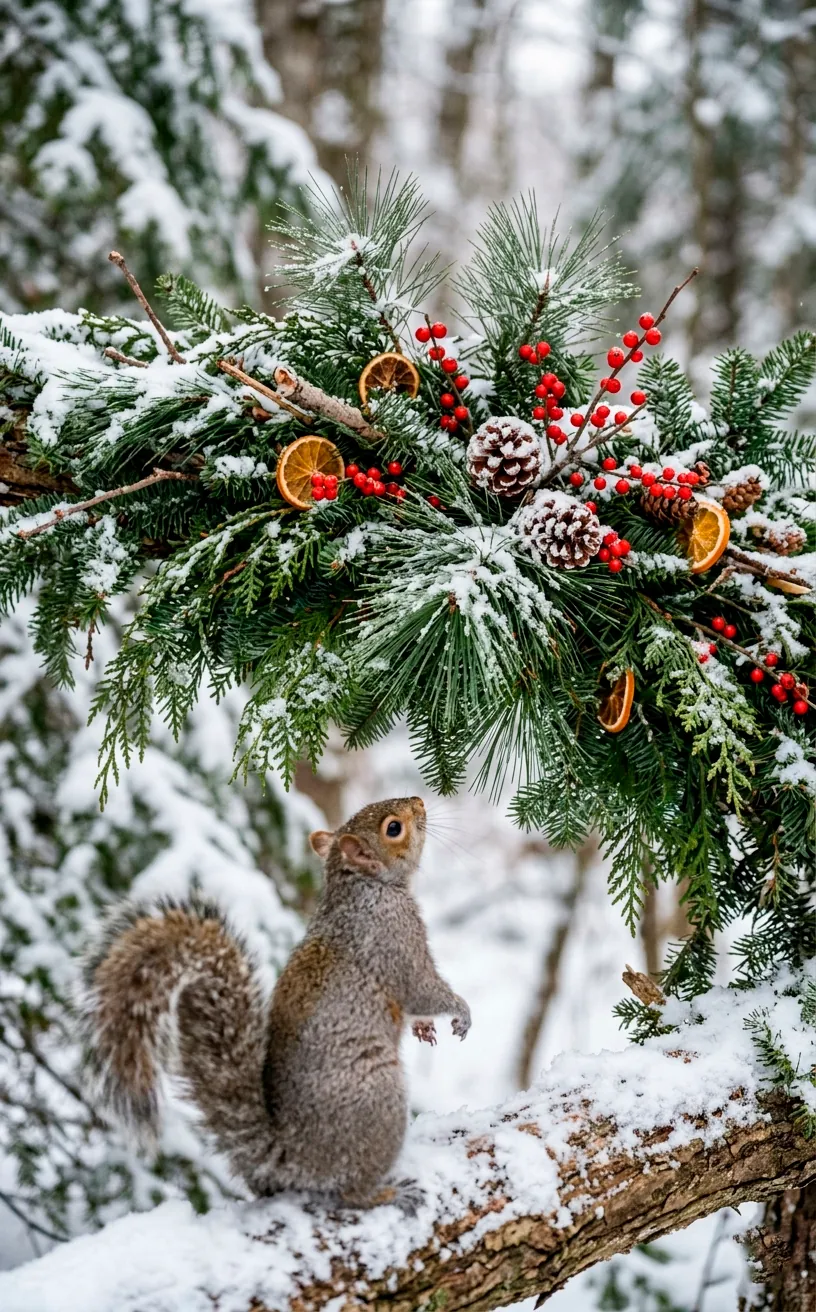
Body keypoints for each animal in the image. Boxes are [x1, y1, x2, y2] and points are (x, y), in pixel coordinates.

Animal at [80, 795, 471, 1209]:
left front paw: (424, 1028)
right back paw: (386, 1194)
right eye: (393, 828)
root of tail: (289, 1156)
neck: (362, 886)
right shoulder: (394, 937)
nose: (420, 801)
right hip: (379, 1102)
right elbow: (422, 989)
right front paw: (460, 1011)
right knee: (349, 1190)